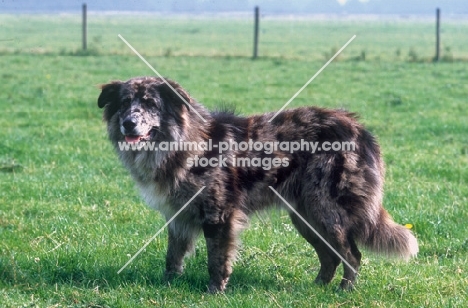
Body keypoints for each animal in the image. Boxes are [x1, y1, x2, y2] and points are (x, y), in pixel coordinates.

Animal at [97, 76, 418, 292]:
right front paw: (168, 285)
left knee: (352, 255)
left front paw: (214, 291)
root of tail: (360, 129)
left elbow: (216, 259)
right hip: (305, 217)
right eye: (124, 103)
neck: (184, 143)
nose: (129, 123)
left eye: (150, 104)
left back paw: (344, 291)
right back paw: (317, 288)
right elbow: (173, 256)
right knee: (330, 256)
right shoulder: (178, 216)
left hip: (325, 211)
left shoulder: (219, 216)